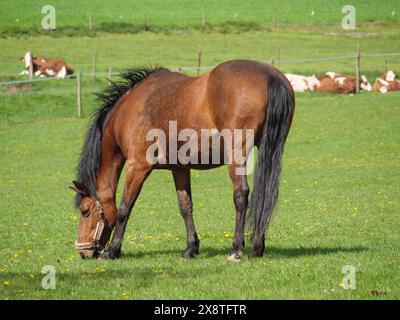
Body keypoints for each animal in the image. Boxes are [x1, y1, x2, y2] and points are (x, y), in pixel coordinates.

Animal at [70, 59, 296, 260]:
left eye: (85, 211)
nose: (83, 252)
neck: (128, 112)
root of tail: (270, 75)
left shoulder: (137, 166)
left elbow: (124, 209)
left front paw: (112, 251)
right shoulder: (179, 168)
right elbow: (185, 206)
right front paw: (191, 248)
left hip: (237, 155)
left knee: (241, 195)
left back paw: (236, 249)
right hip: (270, 149)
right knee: (265, 194)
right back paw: (257, 247)